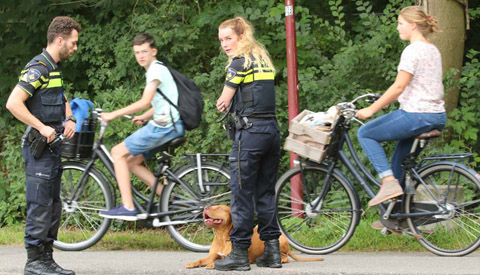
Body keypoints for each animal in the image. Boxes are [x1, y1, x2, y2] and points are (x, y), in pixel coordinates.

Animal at [184, 205, 322, 270]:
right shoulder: (212, 255)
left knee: (284, 257)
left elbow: (215, 262)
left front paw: (213, 265)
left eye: (219, 207)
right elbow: (202, 260)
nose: (205, 207)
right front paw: (193, 263)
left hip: (281, 240)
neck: (221, 236)